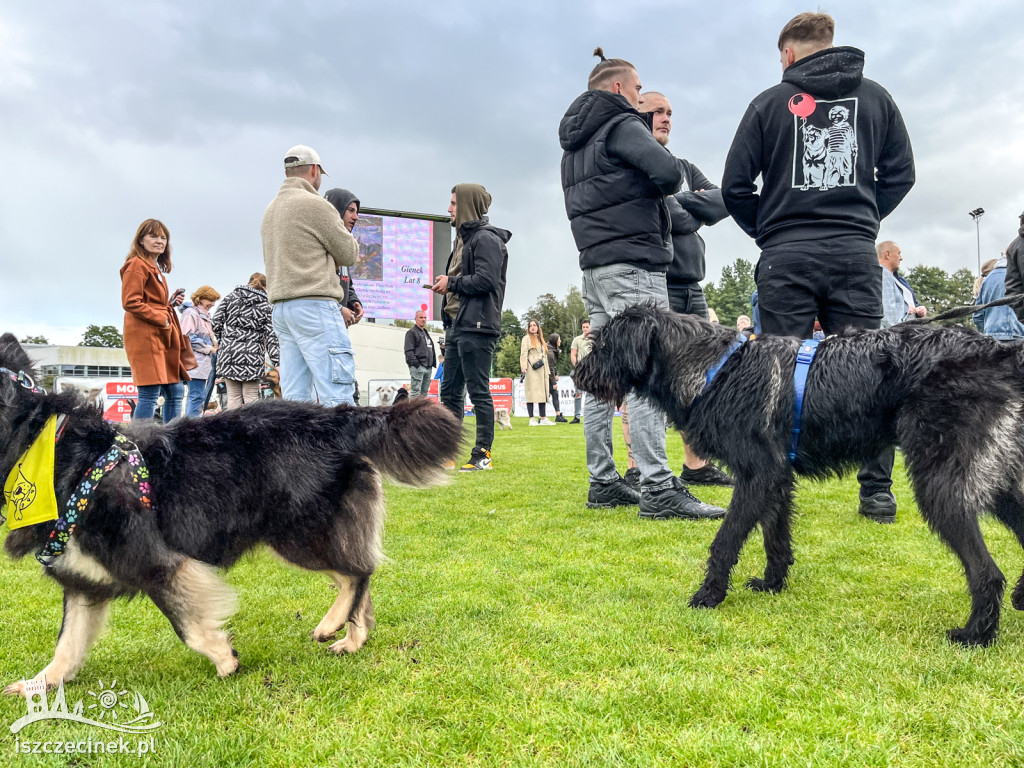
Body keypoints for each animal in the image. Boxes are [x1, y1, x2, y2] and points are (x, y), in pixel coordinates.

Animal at [0, 333, 462, 696]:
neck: (52, 453)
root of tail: (337, 417)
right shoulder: (83, 583)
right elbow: (68, 643)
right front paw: (41, 683)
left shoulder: (157, 562)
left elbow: (188, 625)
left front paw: (225, 659)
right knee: (358, 578)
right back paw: (351, 640)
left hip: (298, 534)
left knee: (358, 574)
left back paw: (331, 625)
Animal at [577, 307, 1024, 651]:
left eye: (604, 345)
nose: (578, 374)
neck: (716, 369)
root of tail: (996, 350)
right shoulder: (774, 478)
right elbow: (775, 537)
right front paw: (773, 583)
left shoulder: (756, 476)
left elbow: (726, 540)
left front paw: (709, 595)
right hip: (998, 482)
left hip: (941, 484)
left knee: (987, 573)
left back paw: (975, 635)